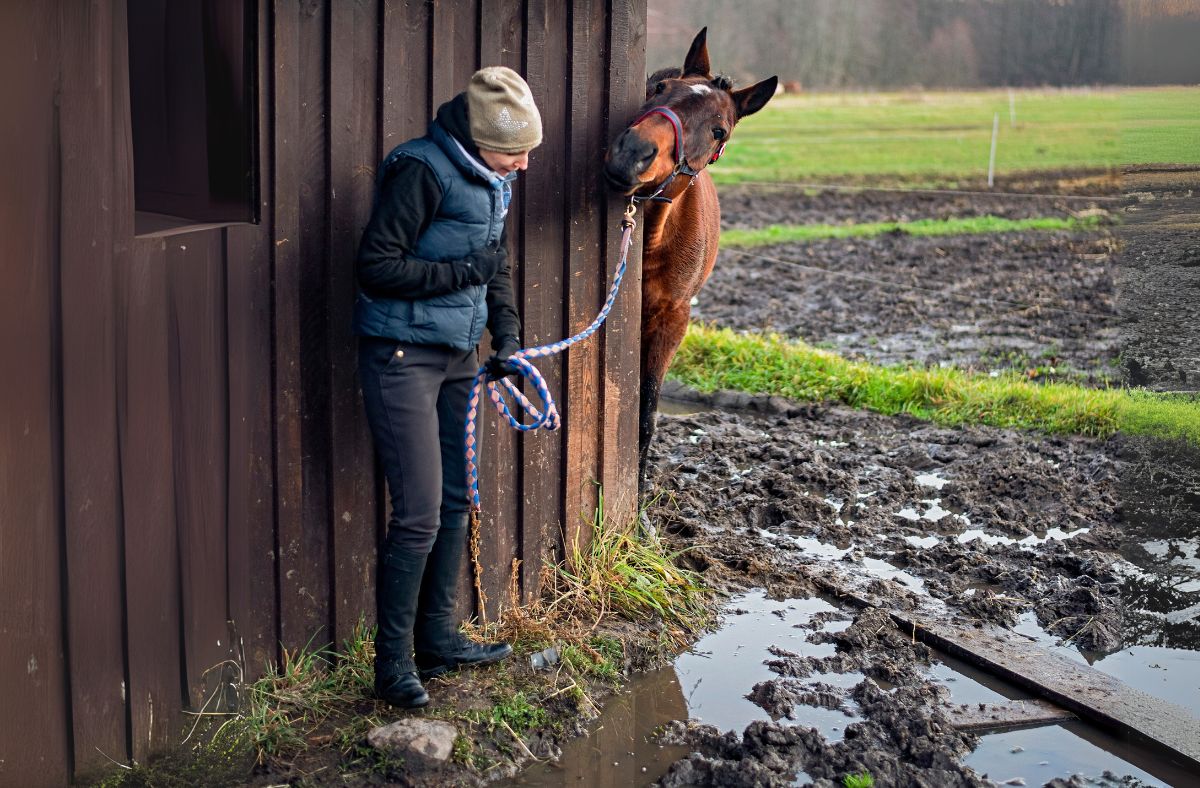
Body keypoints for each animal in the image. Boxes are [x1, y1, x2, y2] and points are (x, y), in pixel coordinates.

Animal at [603, 27, 777, 485]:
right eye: (661, 89)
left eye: (719, 131)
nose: (632, 153)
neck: (652, 241)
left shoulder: (672, 320)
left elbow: (646, 408)